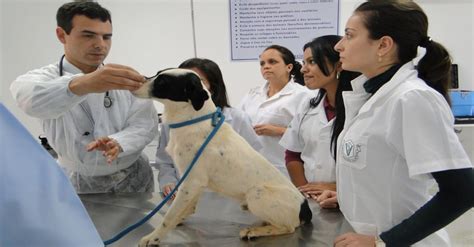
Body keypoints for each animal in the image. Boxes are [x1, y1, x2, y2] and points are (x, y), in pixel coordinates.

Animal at [132, 68, 312, 246]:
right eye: (157, 73)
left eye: (162, 81)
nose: (136, 81)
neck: (193, 121)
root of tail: (305, 207)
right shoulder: (193, 183)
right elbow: (185, 209)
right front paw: (179, 219)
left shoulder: (191, 182)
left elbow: (169, 217)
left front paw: (154, 237)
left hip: (256, 194)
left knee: (288, 227)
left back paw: (254, 231)